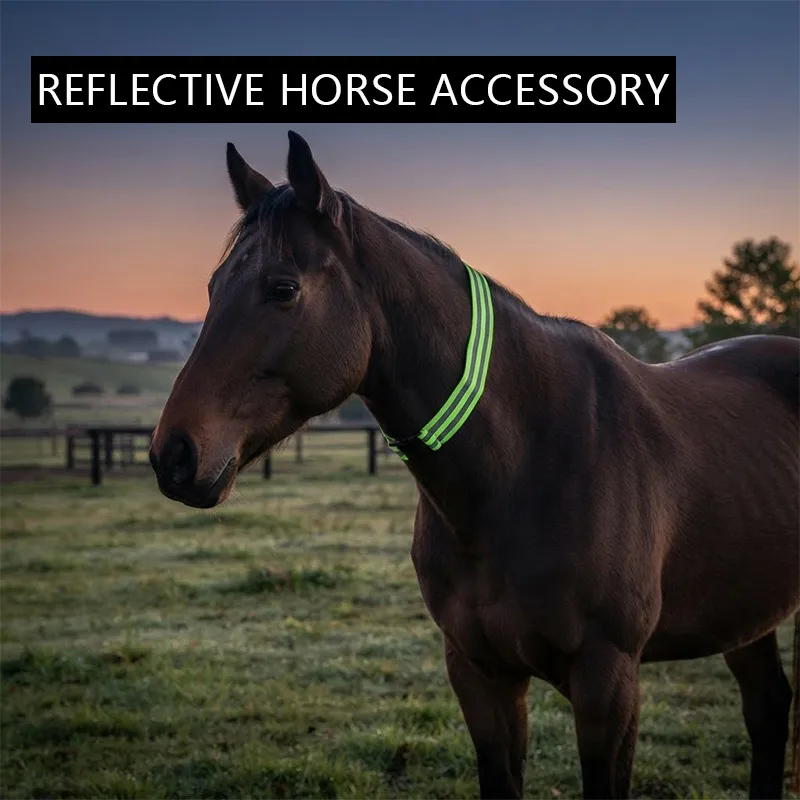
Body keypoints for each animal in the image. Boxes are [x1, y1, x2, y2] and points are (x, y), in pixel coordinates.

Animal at [149, 131, 800, 799]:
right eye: (213, 287)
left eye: (282, 288)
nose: (174, 454)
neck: (525, 469)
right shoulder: (480, 673)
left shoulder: (608, 682)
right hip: (745, 614)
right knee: (768, 707)